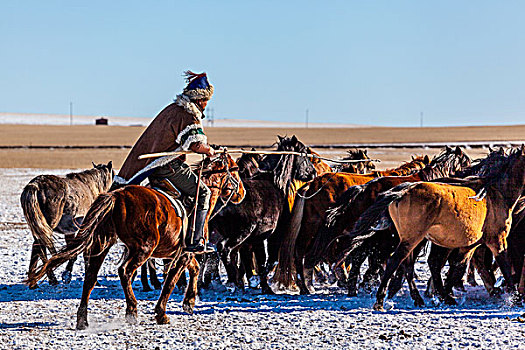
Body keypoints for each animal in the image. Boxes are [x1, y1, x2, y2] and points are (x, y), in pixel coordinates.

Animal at [25, 153, 245, 328]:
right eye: (235, 170)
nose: (242, 193)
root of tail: (116, 196)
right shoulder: (183, 253)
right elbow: (171, 281)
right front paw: (162, 313)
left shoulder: (181, 252)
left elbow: (193, 269)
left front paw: (189, 302)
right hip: (143, 248)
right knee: (124, 271)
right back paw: (131, 310)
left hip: (102, 244)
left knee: (90, 277)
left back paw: (82, 320)